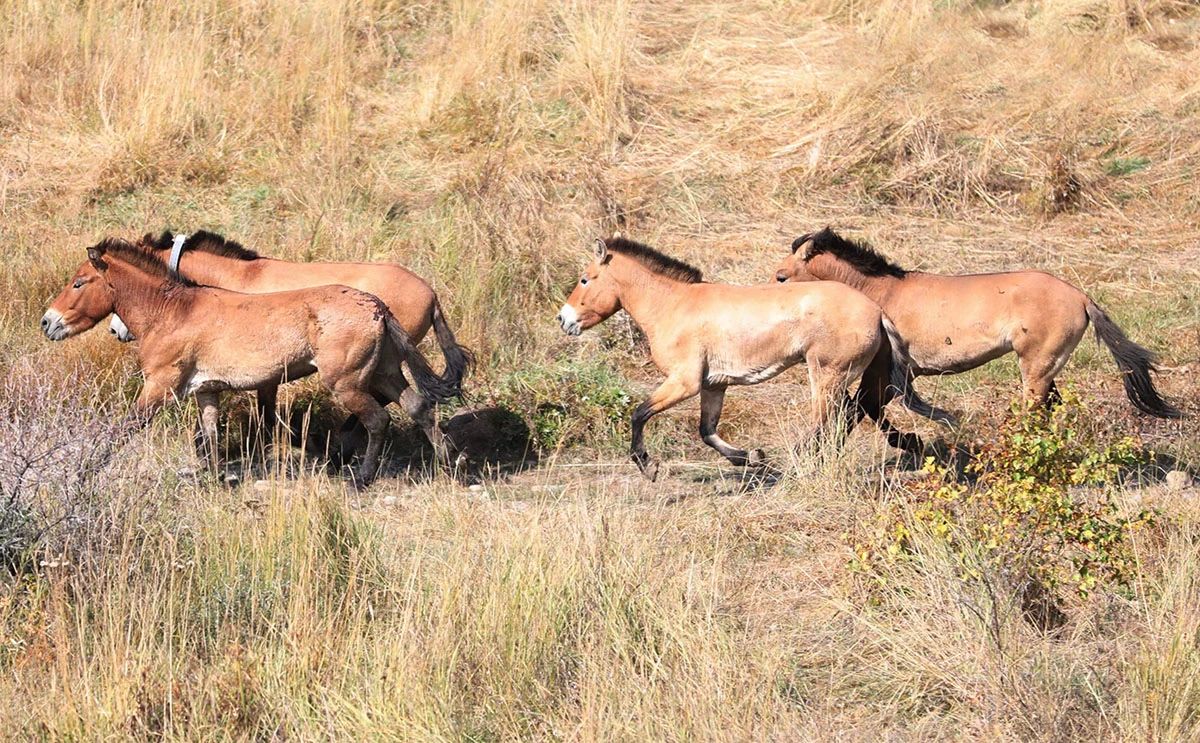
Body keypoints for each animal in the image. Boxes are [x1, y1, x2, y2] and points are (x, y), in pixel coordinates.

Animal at [557, 236, 920, 481]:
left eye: (585, 279)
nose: (564, 319)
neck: (673, 305)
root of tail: (876, 311)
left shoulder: (684, 382)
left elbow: (639, 414)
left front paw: (649, 466)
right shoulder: (713, 385)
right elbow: (707, 431)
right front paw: (753, 457)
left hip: (826, 375)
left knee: (831, 419)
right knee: (850, 413)